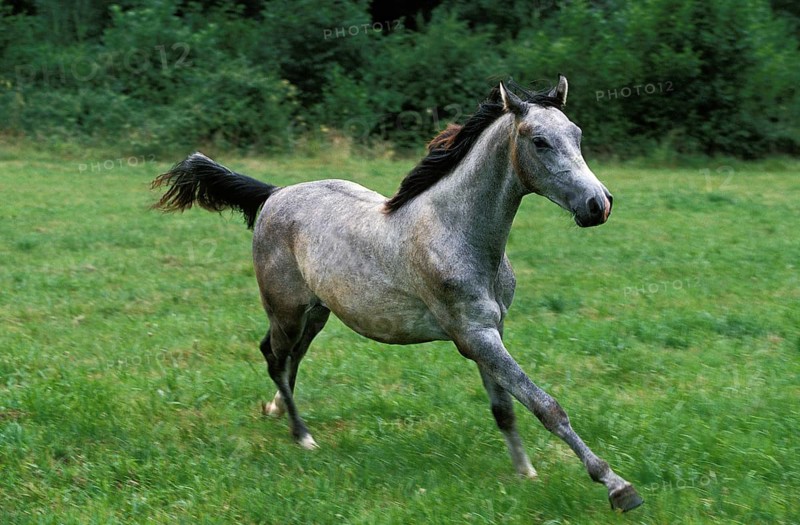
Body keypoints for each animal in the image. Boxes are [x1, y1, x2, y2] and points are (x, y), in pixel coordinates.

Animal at [151, 76, 643, 512]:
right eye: (540, 142)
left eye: (577, 135)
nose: (599, 204)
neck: (457, 232)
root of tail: (273, 194)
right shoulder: (475, 336)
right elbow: (545, 405)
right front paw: (617, 486)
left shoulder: (490, 331)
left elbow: (504, 407)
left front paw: (524, 472)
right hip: (286, 310)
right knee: (273, 356)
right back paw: (302, 435)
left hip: (317, 313)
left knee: (289, 360)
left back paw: (275, 411)